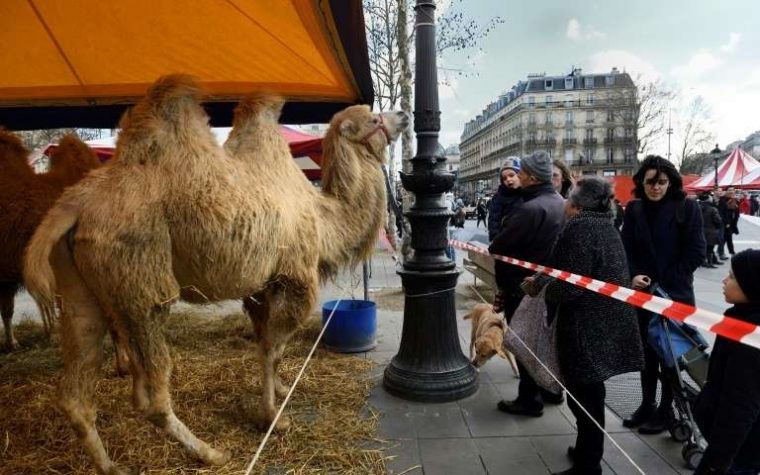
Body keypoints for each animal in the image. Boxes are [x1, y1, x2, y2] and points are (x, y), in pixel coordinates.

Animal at [22, 74, 410, 475]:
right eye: (372, 118)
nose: (403, 114)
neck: (324, 217)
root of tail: (75, 203)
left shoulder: (261, 286)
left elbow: (266, 342)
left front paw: (280, 391)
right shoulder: (296, 277)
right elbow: (271, 348)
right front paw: (272, 418)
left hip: (81, 291)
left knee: (75, 392)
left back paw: (111, 466)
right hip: (139, 275)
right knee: (152, 393)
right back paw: (209, 452)